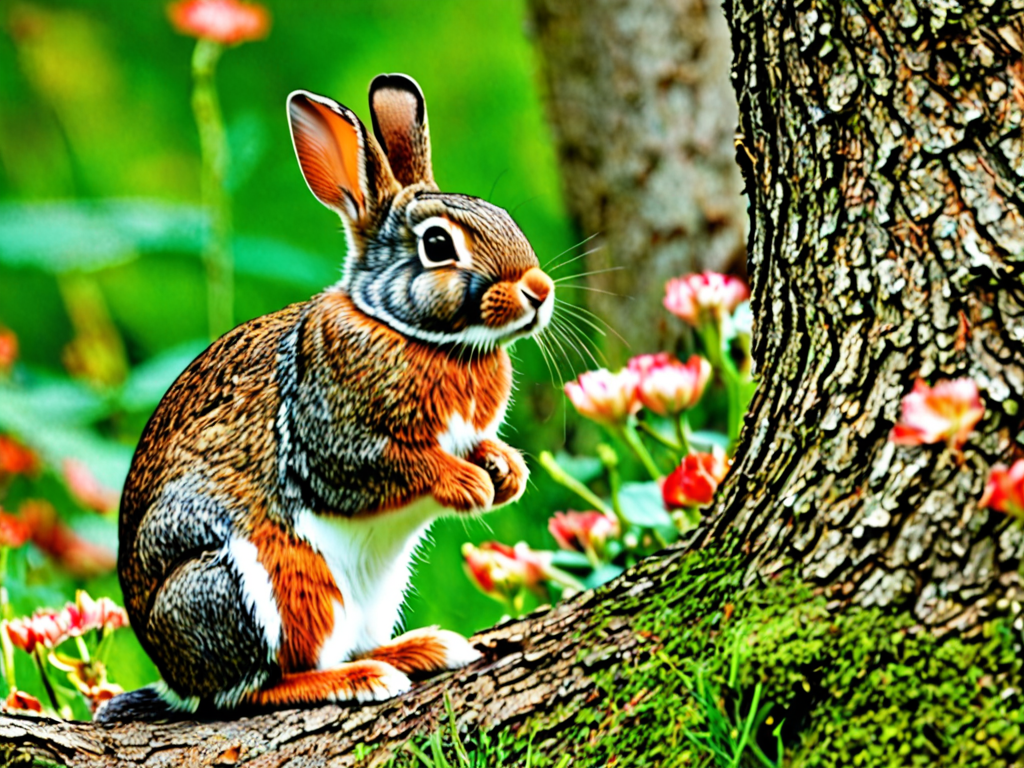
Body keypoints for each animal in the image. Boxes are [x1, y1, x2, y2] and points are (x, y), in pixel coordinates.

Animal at [96, 73, 554, 721]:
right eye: (438, 244)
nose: (538, 290)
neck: (413, 332)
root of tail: (174, 680)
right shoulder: (328, 443)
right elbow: (393, 465)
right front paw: (469, 485)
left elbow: (482, 445)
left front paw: (506, 473)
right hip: (258, 588)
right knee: (254, 688)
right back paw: (360, 679)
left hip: (371, 595)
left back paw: (420, 650)